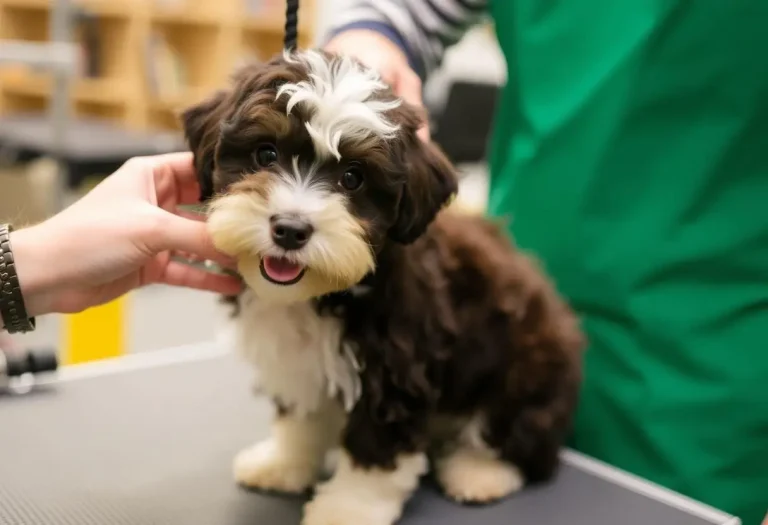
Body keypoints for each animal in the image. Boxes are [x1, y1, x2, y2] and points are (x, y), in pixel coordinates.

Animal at [183, 49, 584, 524]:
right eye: (266, 153)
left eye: (353, 177)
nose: (291, 229)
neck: (318, 295)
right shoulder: (298, 364)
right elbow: (301, 417)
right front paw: (283, 463)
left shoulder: (396, 369)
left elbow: (374, 448)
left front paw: (347, 509)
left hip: (527, 362)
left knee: (515, 434)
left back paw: (480, 472)